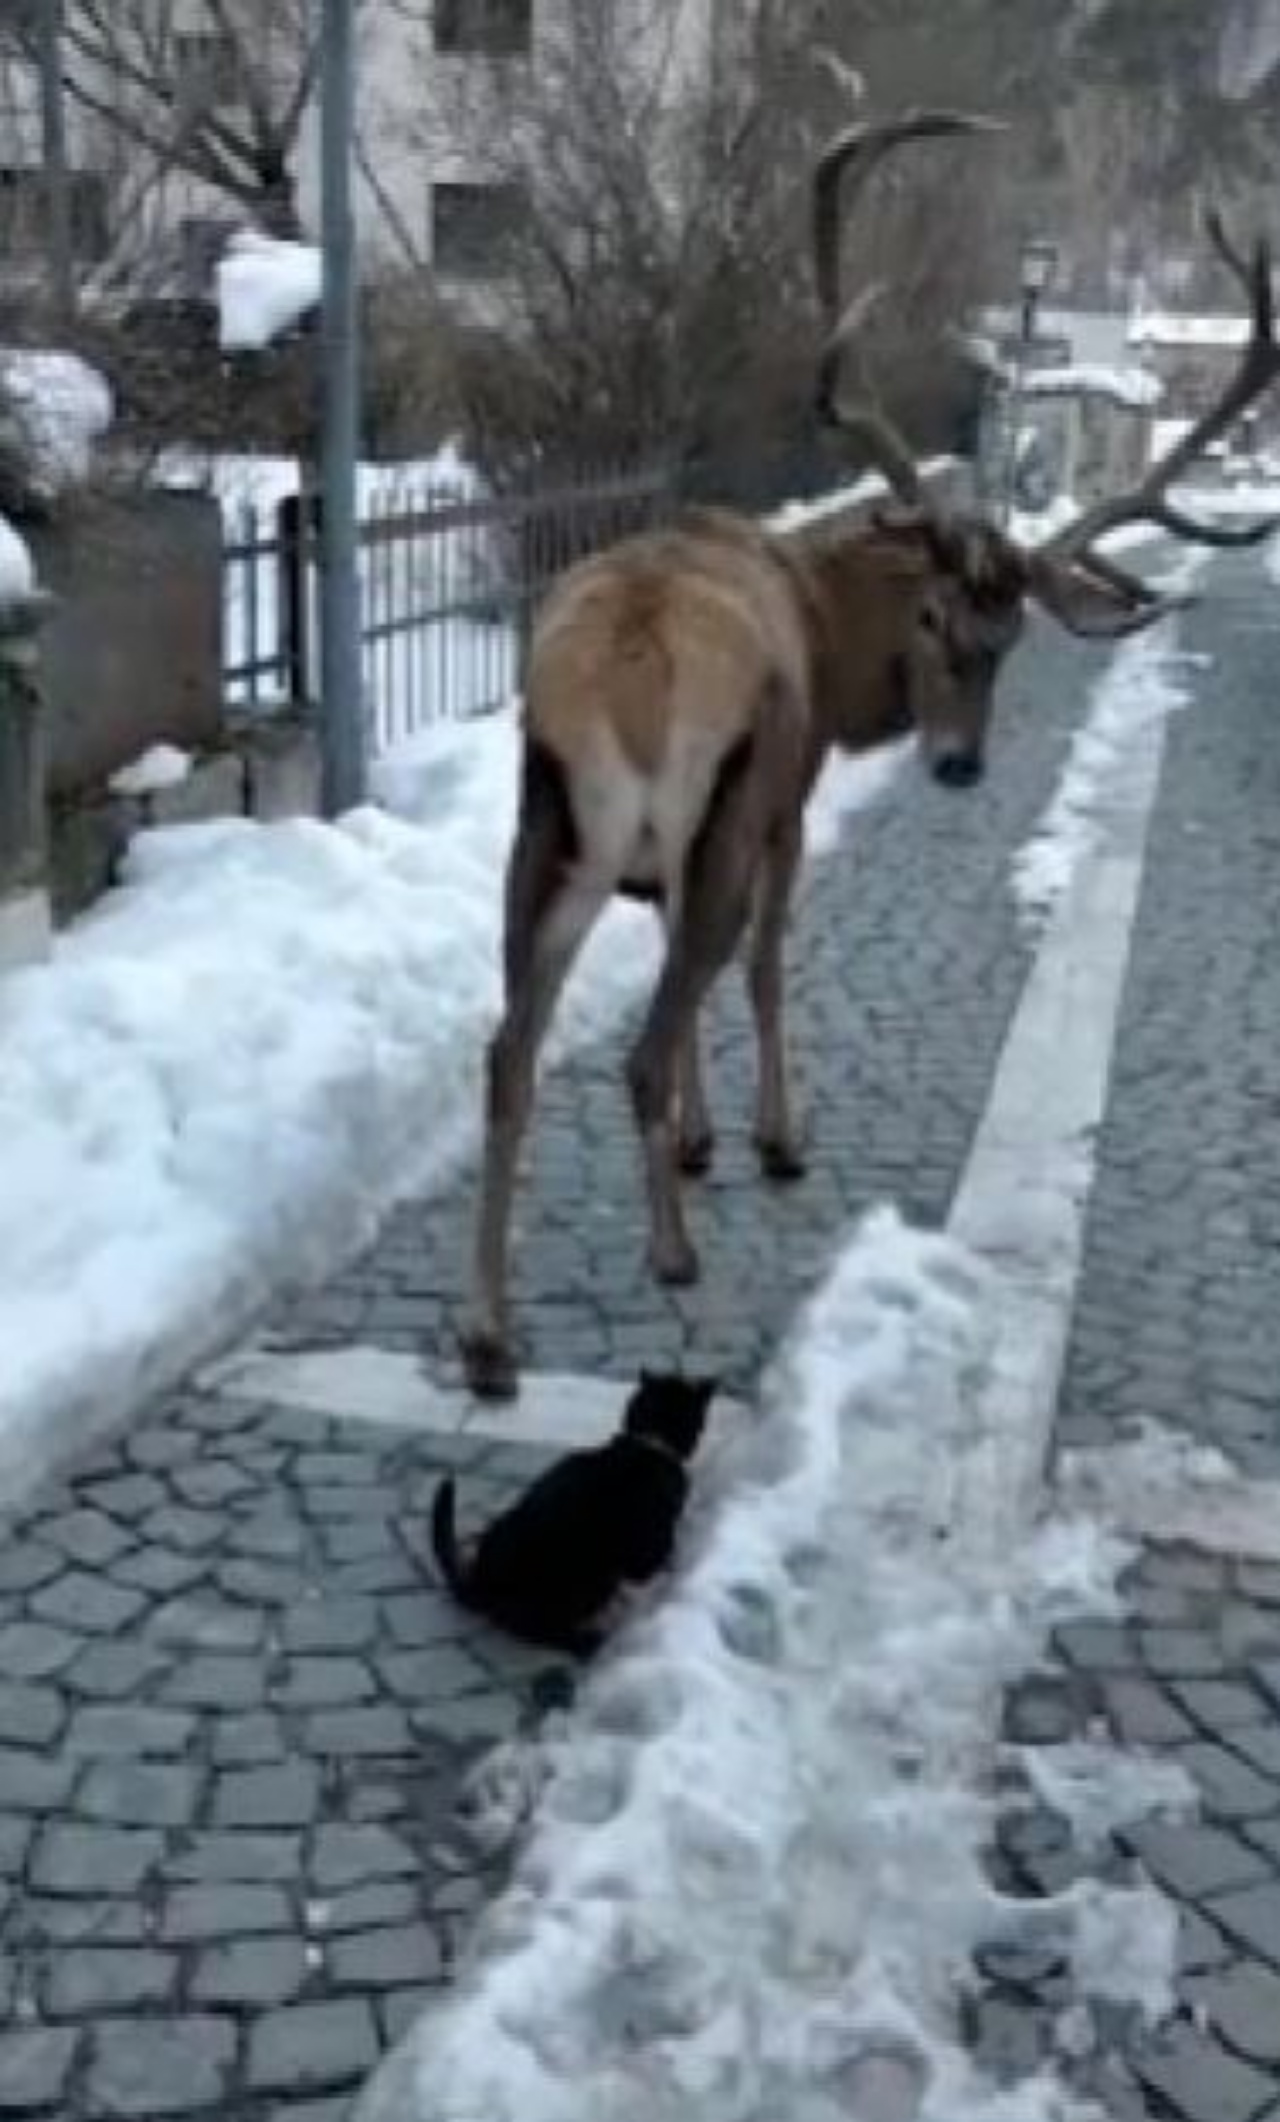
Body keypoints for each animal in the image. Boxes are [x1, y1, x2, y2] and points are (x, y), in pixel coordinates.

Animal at [428, 1375, 713, 1655]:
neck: (650, 1441)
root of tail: (479, 1583)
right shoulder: (647, 1543)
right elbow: (655, 1559)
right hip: (592, 1575)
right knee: (538, 1629)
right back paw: (586, 1642)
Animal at [460, 107, 1280, 1400]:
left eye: (1011, 636)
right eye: (935, 618)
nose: (957, 765)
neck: (825, 636)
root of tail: (620, 666)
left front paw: (700, 1137)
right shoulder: (786, 798)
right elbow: (764, 965)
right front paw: (769, 1138)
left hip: (547, 835)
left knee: (506, 1053)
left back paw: (487, 1332)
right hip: (717, 808)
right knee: (644, 1034)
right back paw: (671, 1254)